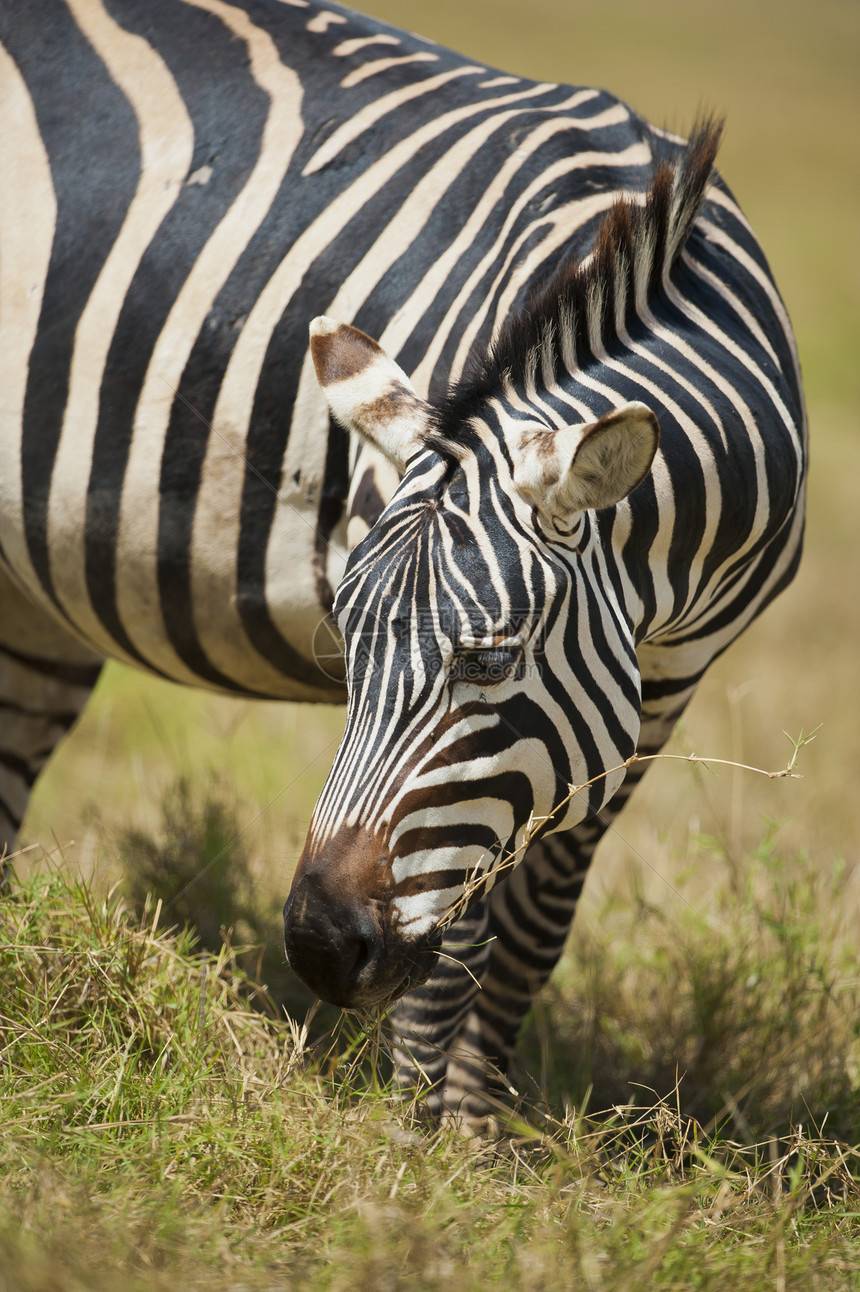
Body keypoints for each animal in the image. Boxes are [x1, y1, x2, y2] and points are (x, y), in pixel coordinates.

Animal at [1, 0, 805, 1126]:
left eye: (489, 659)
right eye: (342, 645)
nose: (317, 949)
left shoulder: (656, 699)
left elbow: (526, 934)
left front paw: (472, 1128)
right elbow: (453, 953)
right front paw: (415, 1146)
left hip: (30, 607)